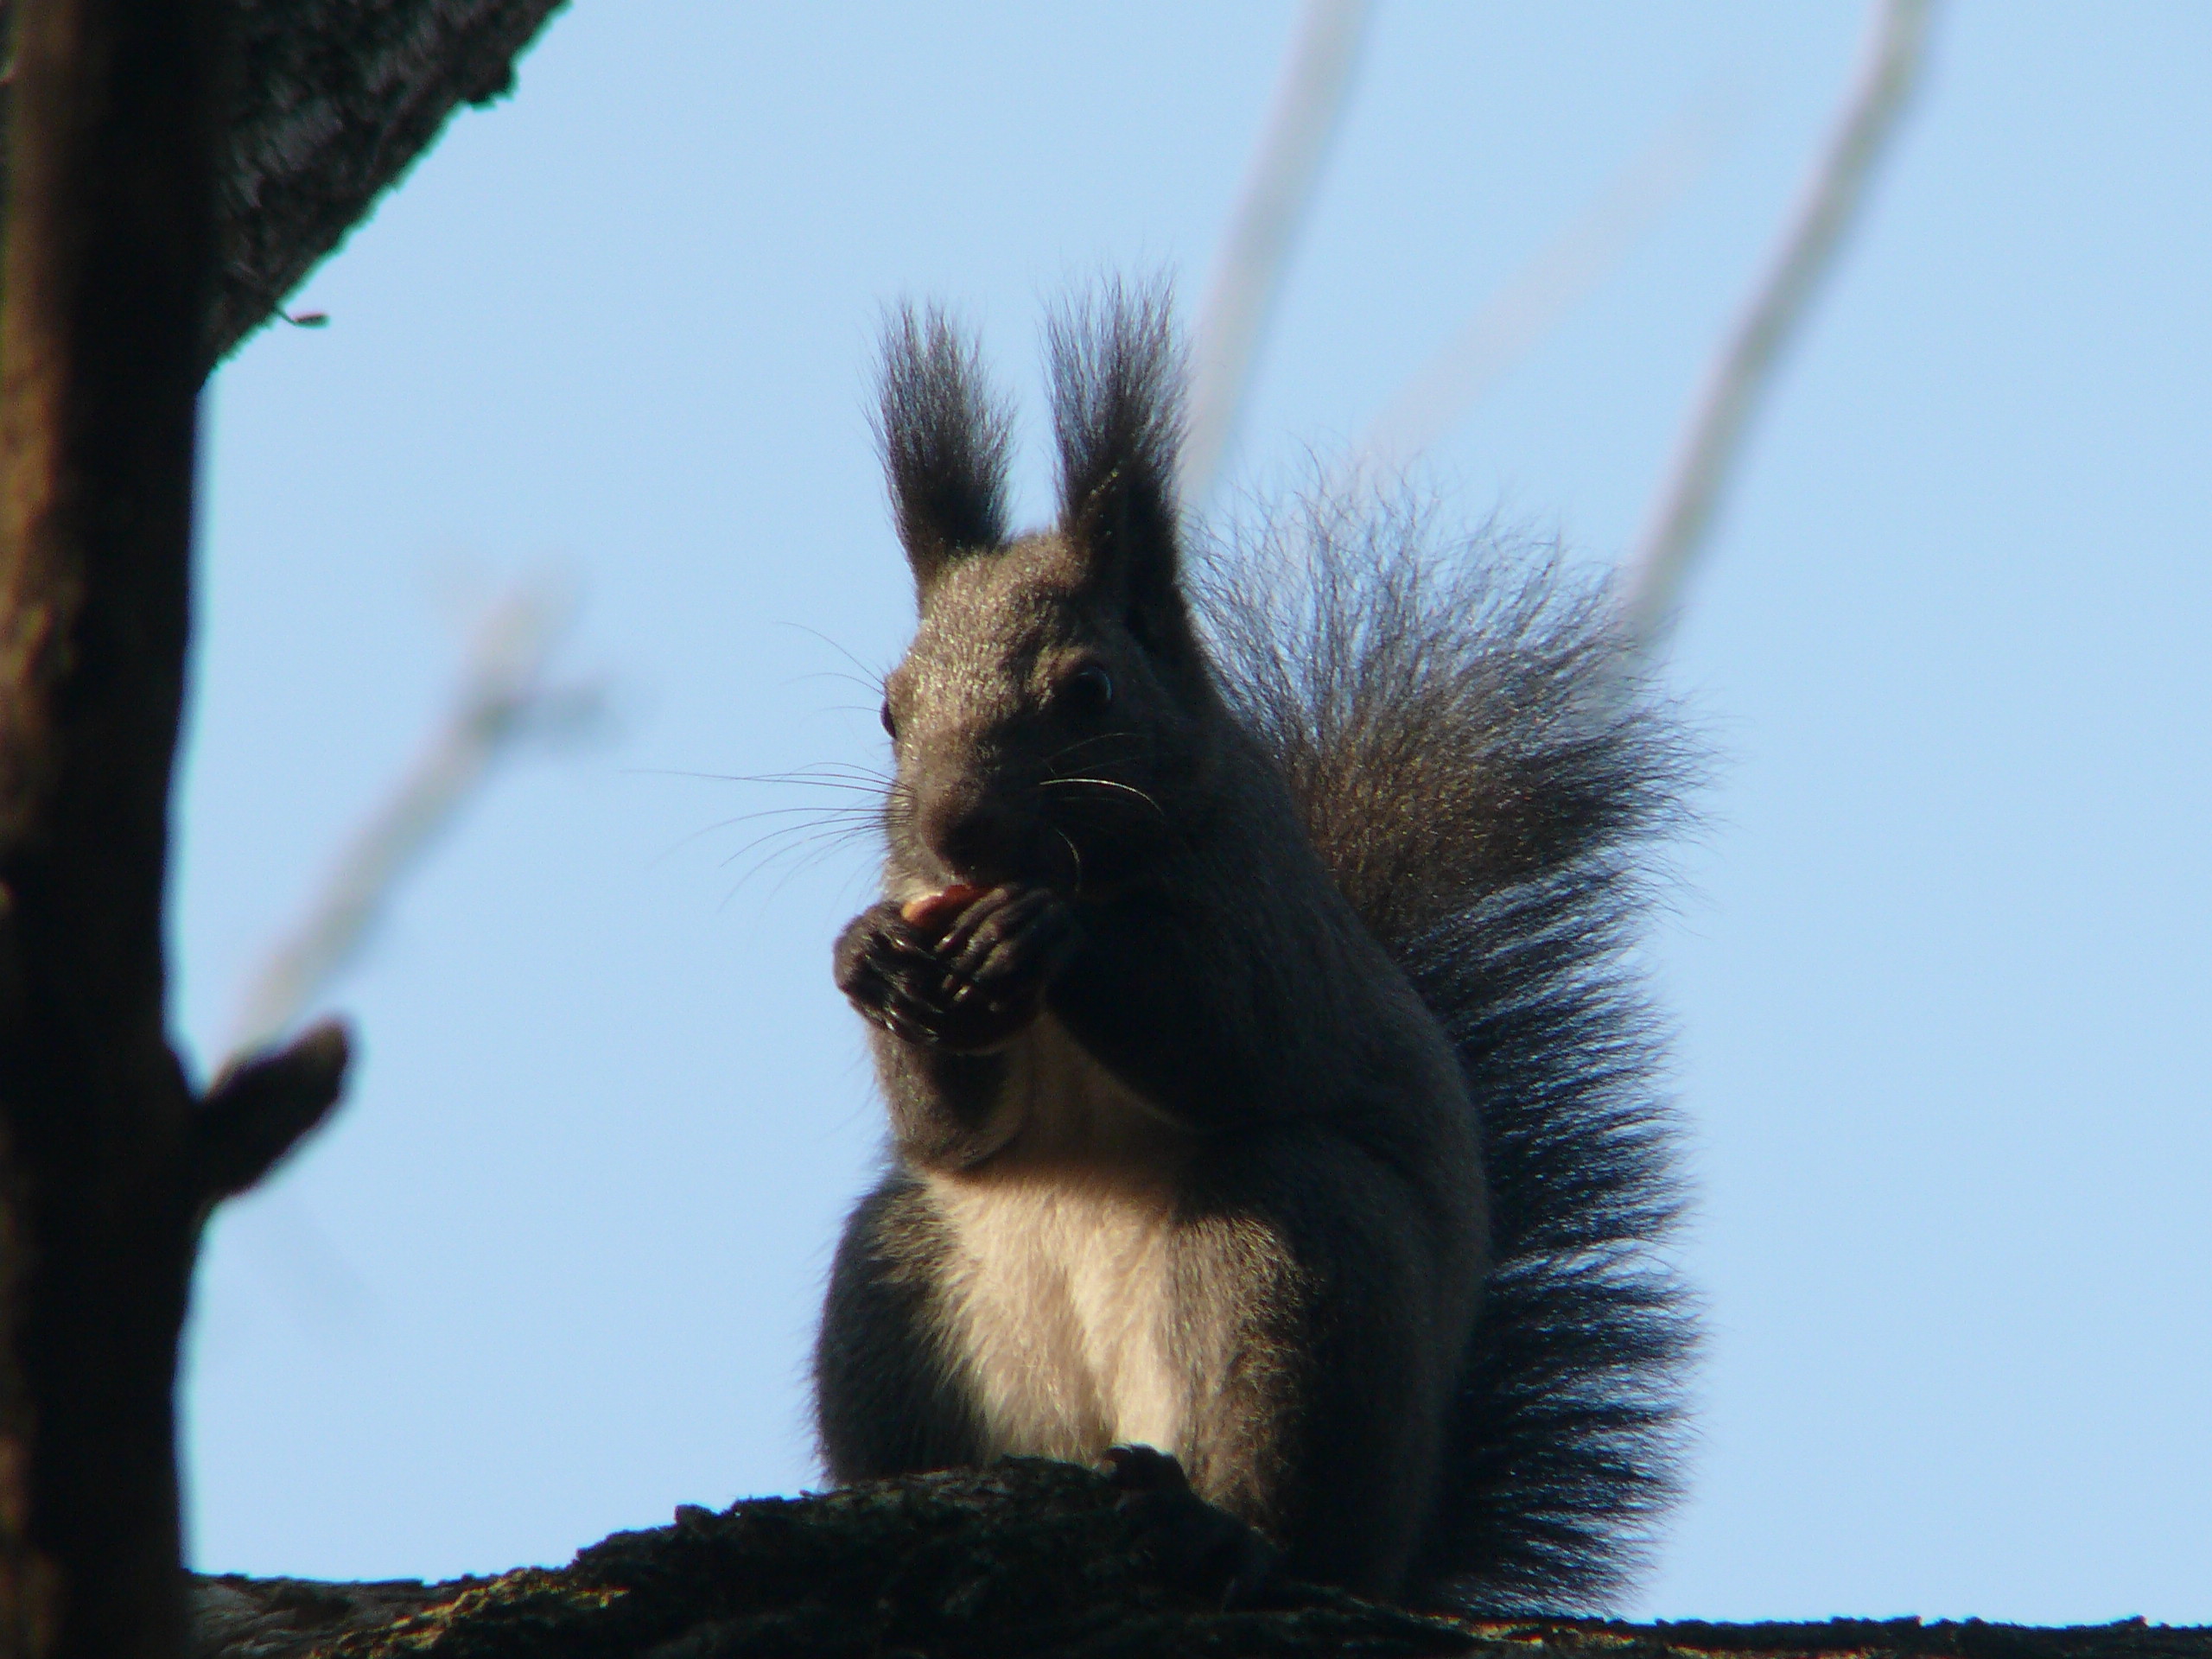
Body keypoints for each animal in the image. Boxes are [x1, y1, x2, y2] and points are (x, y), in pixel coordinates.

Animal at [811, 288, 1696, 1611]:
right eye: (889, 709)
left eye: (1091, 691)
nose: (954, 825)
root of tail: (1396, 1558)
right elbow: (949, 1133)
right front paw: (869, 959)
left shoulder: (1272, 920)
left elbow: (1239, 1033)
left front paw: (1051, 934)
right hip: (894, 1285)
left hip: (1294, 1252)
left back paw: (1234, 1537)